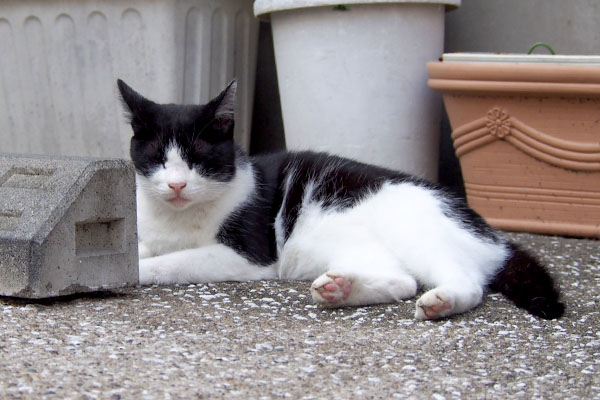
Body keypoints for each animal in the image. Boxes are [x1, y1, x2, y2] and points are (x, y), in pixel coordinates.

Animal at [116, 78, 564, 320]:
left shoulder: (249, 255)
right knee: (402, 280)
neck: (177, 218)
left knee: (465, 283)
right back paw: (341, 289)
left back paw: (442, 301)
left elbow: (173, 262)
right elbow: (148, 247)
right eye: (158, 158)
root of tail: (494, 236)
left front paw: (139, 268)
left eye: (198, 159)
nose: (176, 185)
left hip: (419, 233)